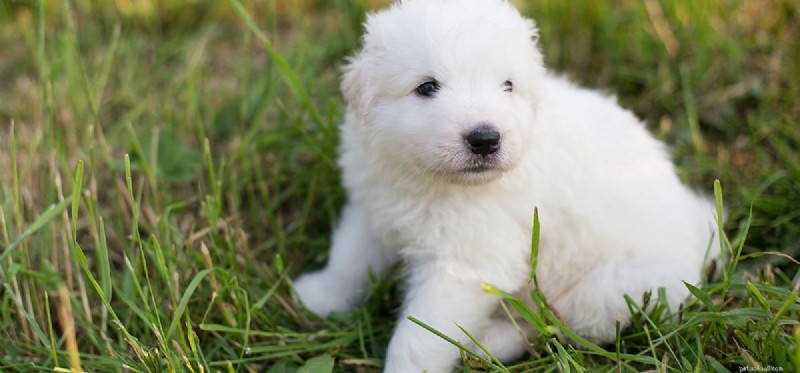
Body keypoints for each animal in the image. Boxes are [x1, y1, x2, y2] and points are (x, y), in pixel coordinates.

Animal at [294, 0, 720, 370]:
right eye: (427, 87)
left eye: (508, 85)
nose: (485, 139)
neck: (428, 180)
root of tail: (699, 230)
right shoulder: (372, 209)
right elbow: (348, 262)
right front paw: (316, 296)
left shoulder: (463, 266)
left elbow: (418, 340)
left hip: (609, 292)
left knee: (550, 328)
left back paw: (484, 343)